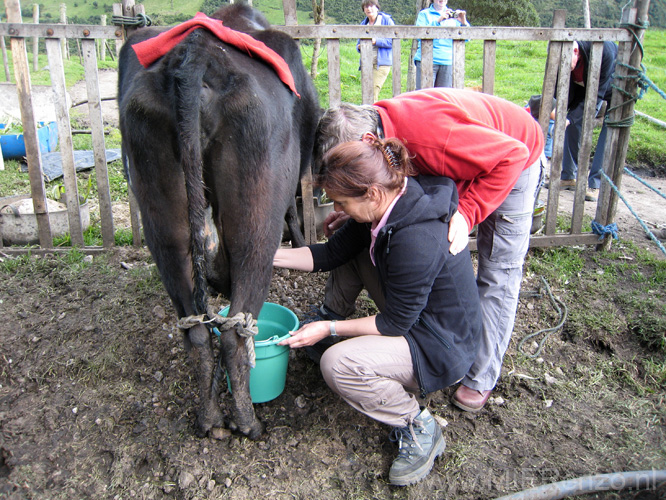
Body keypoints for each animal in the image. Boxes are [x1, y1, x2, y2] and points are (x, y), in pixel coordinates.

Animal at [118, 3, 320, 438]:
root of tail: (195, 54)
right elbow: (293, 211)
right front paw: (300, 242)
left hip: (161, 213)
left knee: (195, 331)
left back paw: (210, 418)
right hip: (255, 219)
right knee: (233, 333)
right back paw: (247, 422)